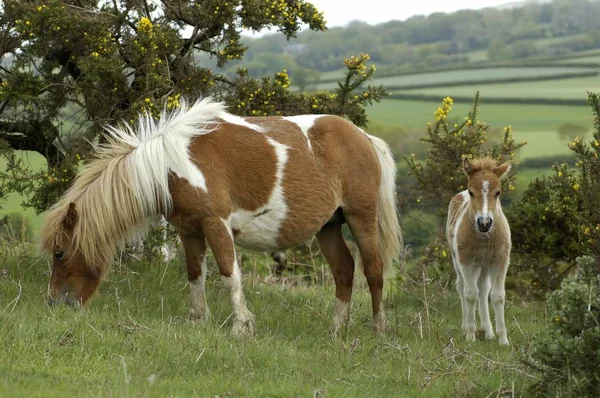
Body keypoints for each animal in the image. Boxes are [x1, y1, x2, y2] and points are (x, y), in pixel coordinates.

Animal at [38, 96, 404, 336]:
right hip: (328, 226)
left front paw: (241, 327)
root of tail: (364, 137)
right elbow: (194, 275)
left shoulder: (216, 225)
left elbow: (230, 274)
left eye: (59, 253)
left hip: (360, 217)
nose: (54, 304)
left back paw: (379, 329)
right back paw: (336, 329)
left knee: (373, 270)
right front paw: (197, 321)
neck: (169, 165)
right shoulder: (189, 231)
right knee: (344, 270)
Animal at [446, 155, 510, 346]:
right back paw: (466, 326)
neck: (484, 238)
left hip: (484, 265)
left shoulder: (500, 260)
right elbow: (470, 294)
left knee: (483, 290)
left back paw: (488, 331)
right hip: (458, 260)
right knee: (462, 287)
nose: (484, 223)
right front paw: (470, 335)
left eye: (498, 193)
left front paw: (503, 339)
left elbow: (497, 296)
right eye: (471, 192)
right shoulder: (466, 261)